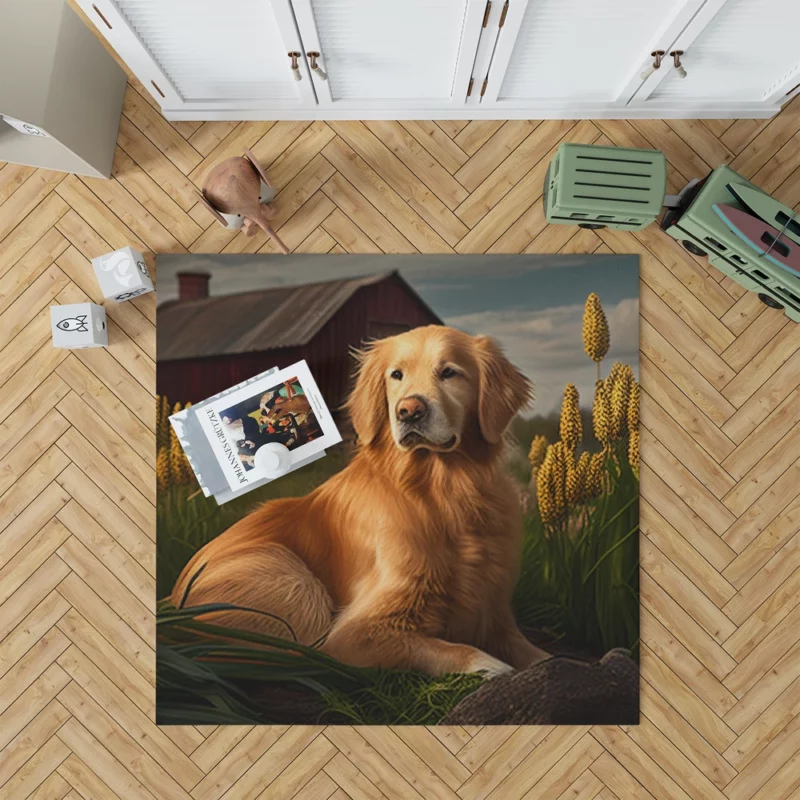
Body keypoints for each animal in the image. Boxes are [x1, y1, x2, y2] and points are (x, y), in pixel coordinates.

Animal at [171, 324, 548, 676]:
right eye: (396, 375)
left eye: (449, 372)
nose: (409, 411)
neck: (441, 490)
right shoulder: (354, 633)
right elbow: (449, 650)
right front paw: (492, 665)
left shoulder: (493, 610)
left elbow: (539, 654)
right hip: (293, 578)